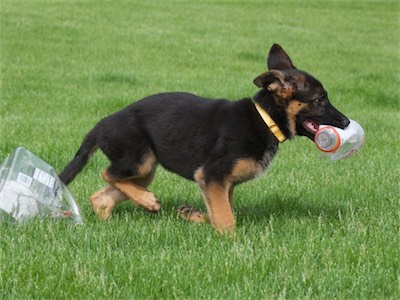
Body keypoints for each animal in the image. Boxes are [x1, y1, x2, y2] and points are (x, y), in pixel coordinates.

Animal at [59, 43, 350, 234]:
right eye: (320, 99)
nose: (347, 122)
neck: (265, 118)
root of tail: (101, 125)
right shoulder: (212, 176)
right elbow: (227, 220)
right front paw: (231, 241)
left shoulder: (222, 185)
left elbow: (219, 213)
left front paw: (191, 215)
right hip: (138, 159)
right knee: (108, 174)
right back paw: (147, 201)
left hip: (144, 169)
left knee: (101, 195)